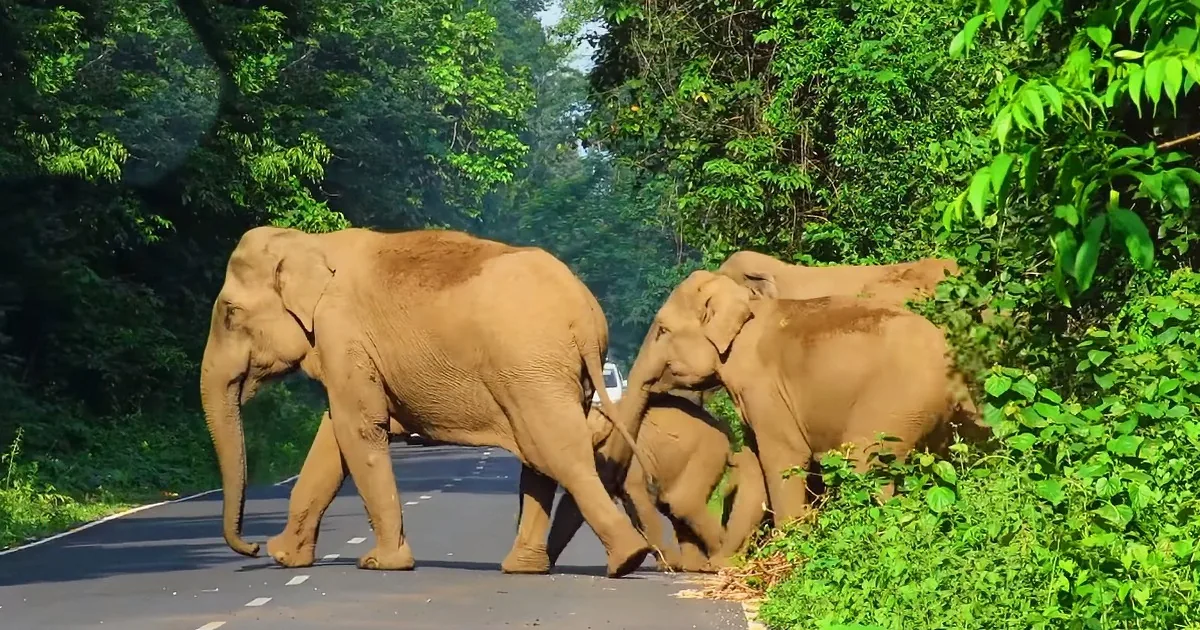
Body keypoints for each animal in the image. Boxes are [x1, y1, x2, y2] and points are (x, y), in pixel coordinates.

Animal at [200, 225, 655, 578]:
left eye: (230, 314)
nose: (253, 547)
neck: (312, 243)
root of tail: (585, 314)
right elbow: (333, 438)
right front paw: (287, 558)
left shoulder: (341, 332)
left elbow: (357, 429)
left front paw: (380, 563)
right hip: (545, 374)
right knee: (540, 456)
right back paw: (524, 568)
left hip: (531, 367)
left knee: (556, 452)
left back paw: (627, 560)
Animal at [562, 269, 981, 534]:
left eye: (662, 329)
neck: (745, 304)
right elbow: (753, 460)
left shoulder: (763, 386)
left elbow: (784, 457)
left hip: (895, 405)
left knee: (867, 465)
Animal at [577, 393, 768, 573]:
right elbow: (632, 507)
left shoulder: (632, 459)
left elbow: (638, 497)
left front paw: (668, 566)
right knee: (672, 505)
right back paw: (694, 566)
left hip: (705, 454)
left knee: (682, 503)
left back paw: (718, 562)